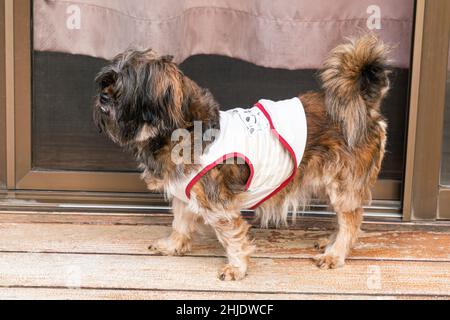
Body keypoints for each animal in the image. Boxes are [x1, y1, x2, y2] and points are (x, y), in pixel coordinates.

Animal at [94, 34, 390, 280]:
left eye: (124, 89)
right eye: (106, 83)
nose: (102, 97)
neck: (182, 128)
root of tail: (363, 105)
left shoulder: (219, 206)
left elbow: (233, 238)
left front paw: (236, 267)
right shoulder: (185, 195)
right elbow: (180, 223)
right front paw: (173, 245)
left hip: (342, 184)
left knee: (352, 221)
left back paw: (335, 253)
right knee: (348, 219)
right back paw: (331, 242)